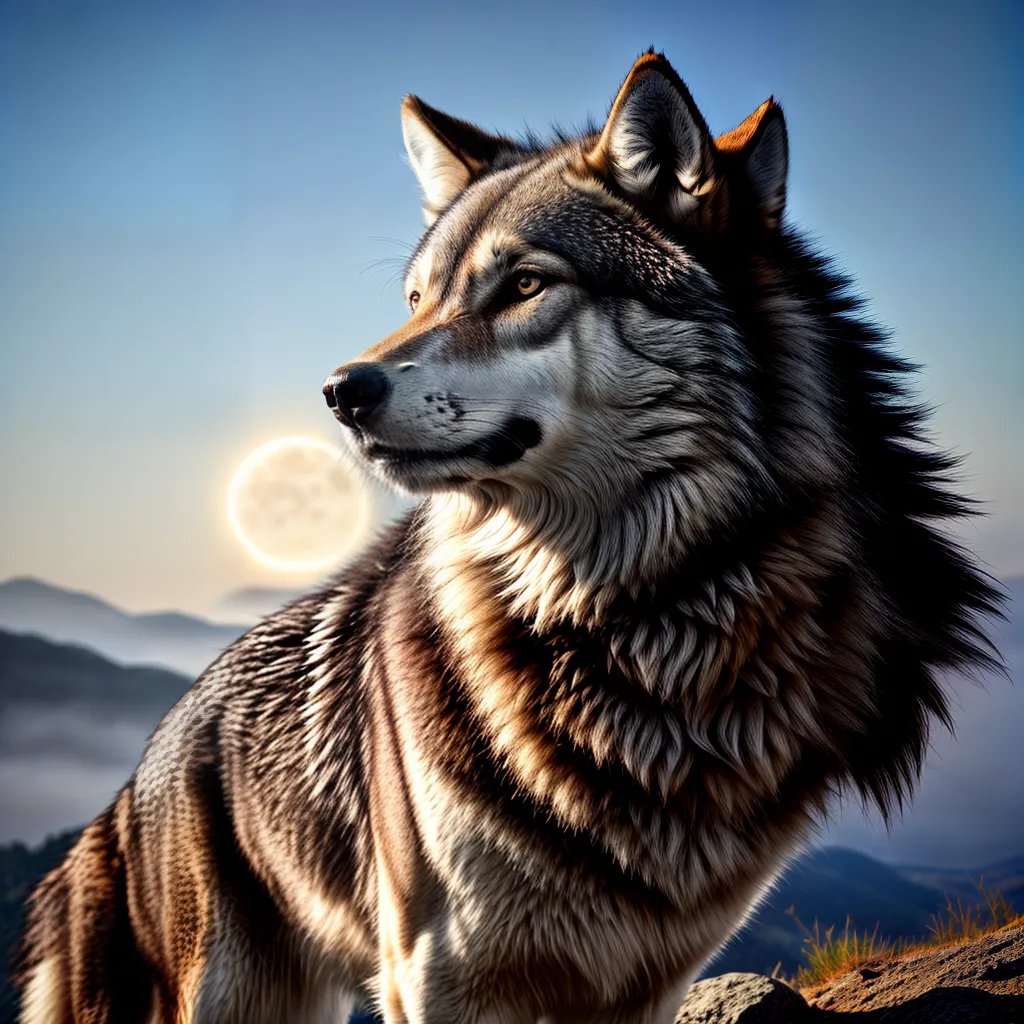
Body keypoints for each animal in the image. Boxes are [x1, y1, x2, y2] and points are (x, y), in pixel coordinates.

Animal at [16, 51, 1000, 1024]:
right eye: (418, 299)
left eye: (524, 285)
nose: (340, 392)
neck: (630, 631)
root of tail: (132, 781)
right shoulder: (435, 972)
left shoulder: (645, 982)